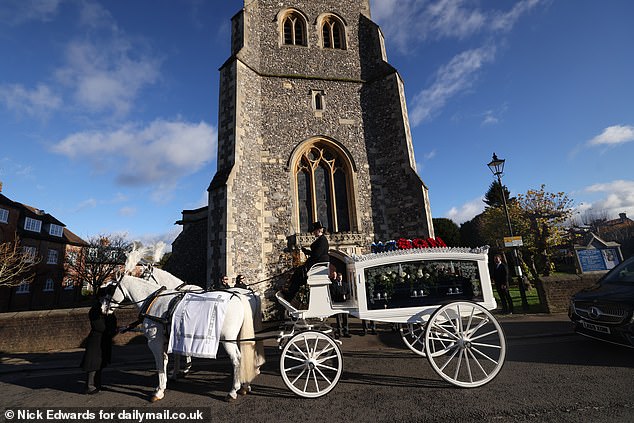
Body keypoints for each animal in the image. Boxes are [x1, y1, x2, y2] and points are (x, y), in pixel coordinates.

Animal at [103, 276, 262, 402]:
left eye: (110, 289)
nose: (103, 308)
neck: (155, 301)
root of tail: (239, 297)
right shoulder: (171, 338)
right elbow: (169, 359)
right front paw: (170, 379)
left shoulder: (155, 342)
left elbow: (160, 364)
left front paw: (159, 390)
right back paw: (245, 385)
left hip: (228, 339)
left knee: (237, 359)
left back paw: (233, 391)